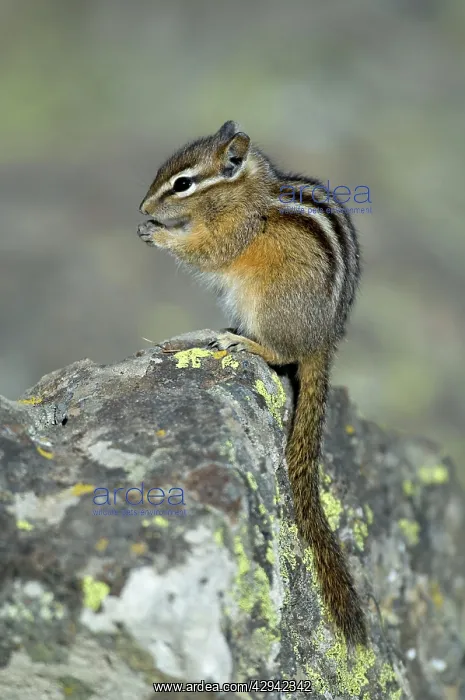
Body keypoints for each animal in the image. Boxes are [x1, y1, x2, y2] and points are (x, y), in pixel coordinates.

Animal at [137, 121, 366, 646]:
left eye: (182, 184)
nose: (142, 208)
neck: (244, 192)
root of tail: (324, 340)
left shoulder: (231, 234)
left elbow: (206, 252)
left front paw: (159, 235)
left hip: (265, 302)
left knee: (282, 356)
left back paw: (242, 342)